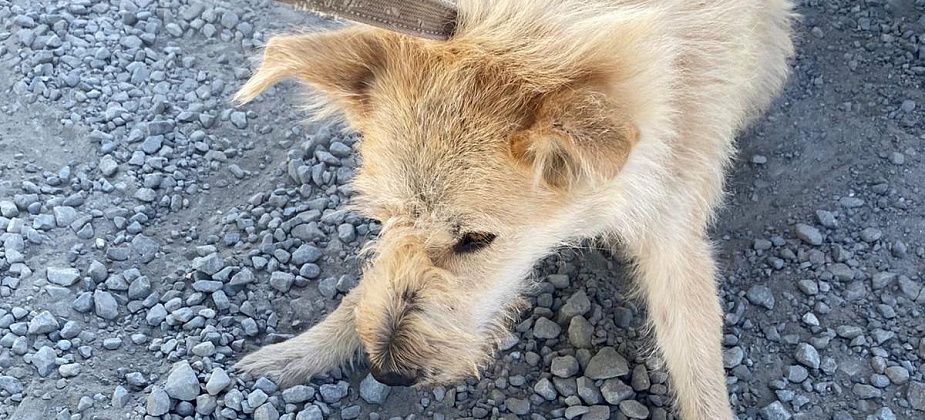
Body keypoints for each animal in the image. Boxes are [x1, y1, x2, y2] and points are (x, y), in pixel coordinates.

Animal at [233, 1, 796, 418]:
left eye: (476, 240)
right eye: (382, 218)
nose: (387, 372)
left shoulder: (674, 230)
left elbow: (698, 360)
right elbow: (369, 286)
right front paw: (302, 350)